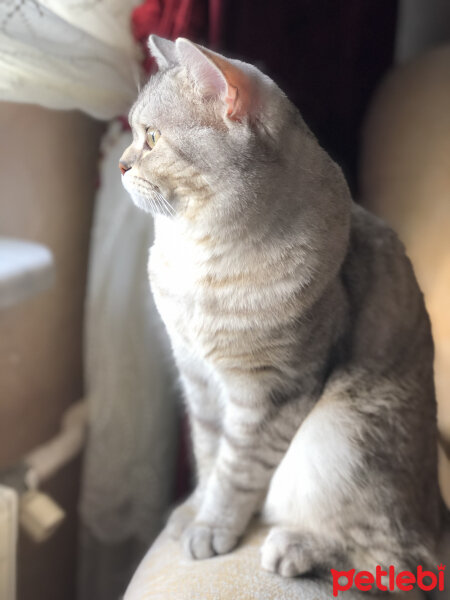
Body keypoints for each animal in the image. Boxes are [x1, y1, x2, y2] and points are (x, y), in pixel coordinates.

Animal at [119, 35, 442, 580]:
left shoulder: (273, 391)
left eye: (153, 138)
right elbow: (208, 454)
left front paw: (211, 528)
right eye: (136, 133)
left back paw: (294, 548)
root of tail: (437, 509)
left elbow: (236, 472)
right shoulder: (198, 377)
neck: (200, 260)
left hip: (341, 439)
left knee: (399, 555)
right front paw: (193, 512)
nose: (120, 165)